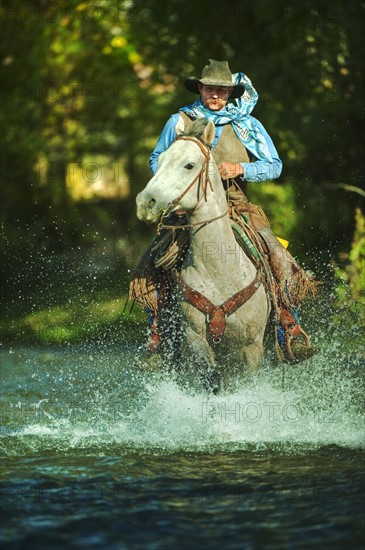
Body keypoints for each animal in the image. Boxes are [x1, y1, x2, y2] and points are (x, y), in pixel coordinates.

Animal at [136, 121, 270, 392]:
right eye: (161, 159)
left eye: (189, 165)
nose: (145, 202)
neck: (221, 270)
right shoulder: (194, 335)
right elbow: (210, 376)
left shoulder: (252, 346)